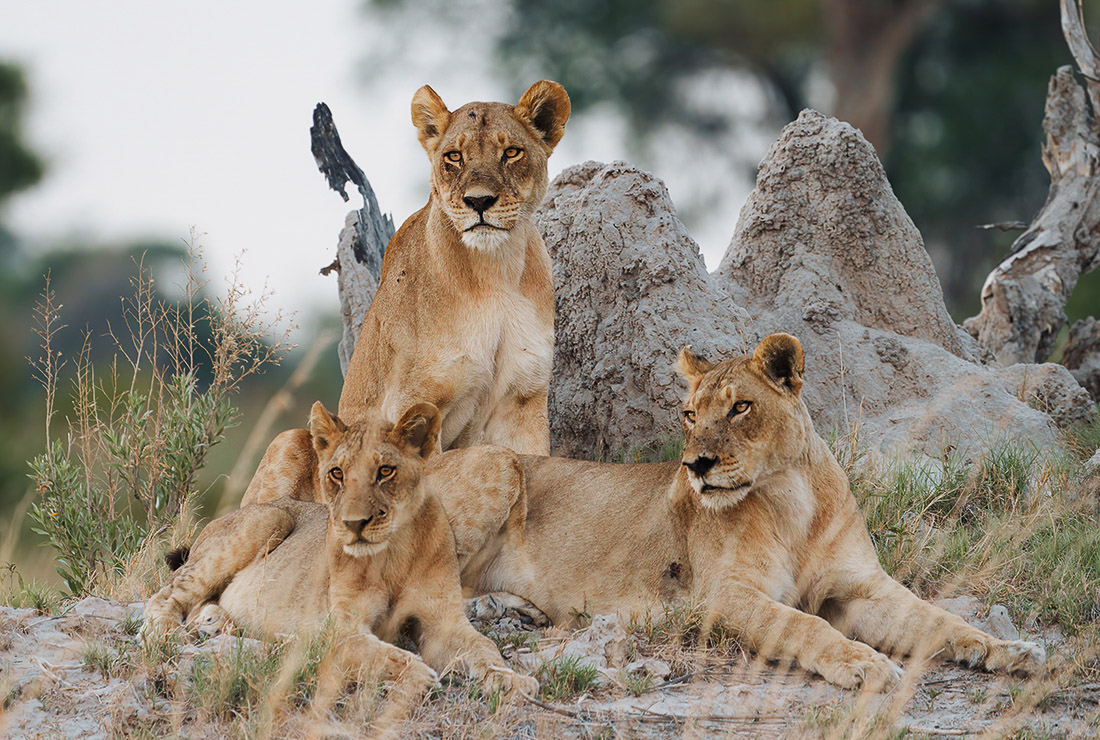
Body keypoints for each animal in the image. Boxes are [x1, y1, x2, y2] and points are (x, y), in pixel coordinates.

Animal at [143, 401, 538, 704]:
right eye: (336, 473)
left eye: (385, 471)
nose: (353, 523)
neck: (393, 554)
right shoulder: (340, 628)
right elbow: (381, 653)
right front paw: (420, 675)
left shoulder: (443, 623)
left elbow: (484, 648)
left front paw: (512, 680)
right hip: (270, 517)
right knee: (166, 595)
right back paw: (171, 633)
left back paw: (218, 622)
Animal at [437, 334, 1047, 691]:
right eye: (689, 414)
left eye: (741, 408)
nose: (695, 465)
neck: (793, 500)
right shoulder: (723, 596)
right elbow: (803, 623)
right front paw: (866, 663)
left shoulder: (860, 588)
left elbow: (934, 618)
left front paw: (1007, 650)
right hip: (498, 462)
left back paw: (509, 606)